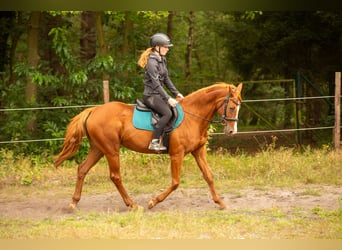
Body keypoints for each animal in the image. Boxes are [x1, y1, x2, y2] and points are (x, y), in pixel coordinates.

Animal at [54, 83, 243, 210]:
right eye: (231, 107)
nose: (232, 131)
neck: (193, 117)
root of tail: (94, 110)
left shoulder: (198, 151)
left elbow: (208, 176)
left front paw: (220, 202)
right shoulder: (177, 154)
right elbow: (175, 182)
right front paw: (153, 202)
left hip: (98, 149)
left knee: (82, 169)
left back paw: (73, 202)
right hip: (111, 150)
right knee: (115, 176)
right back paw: (132, 205)